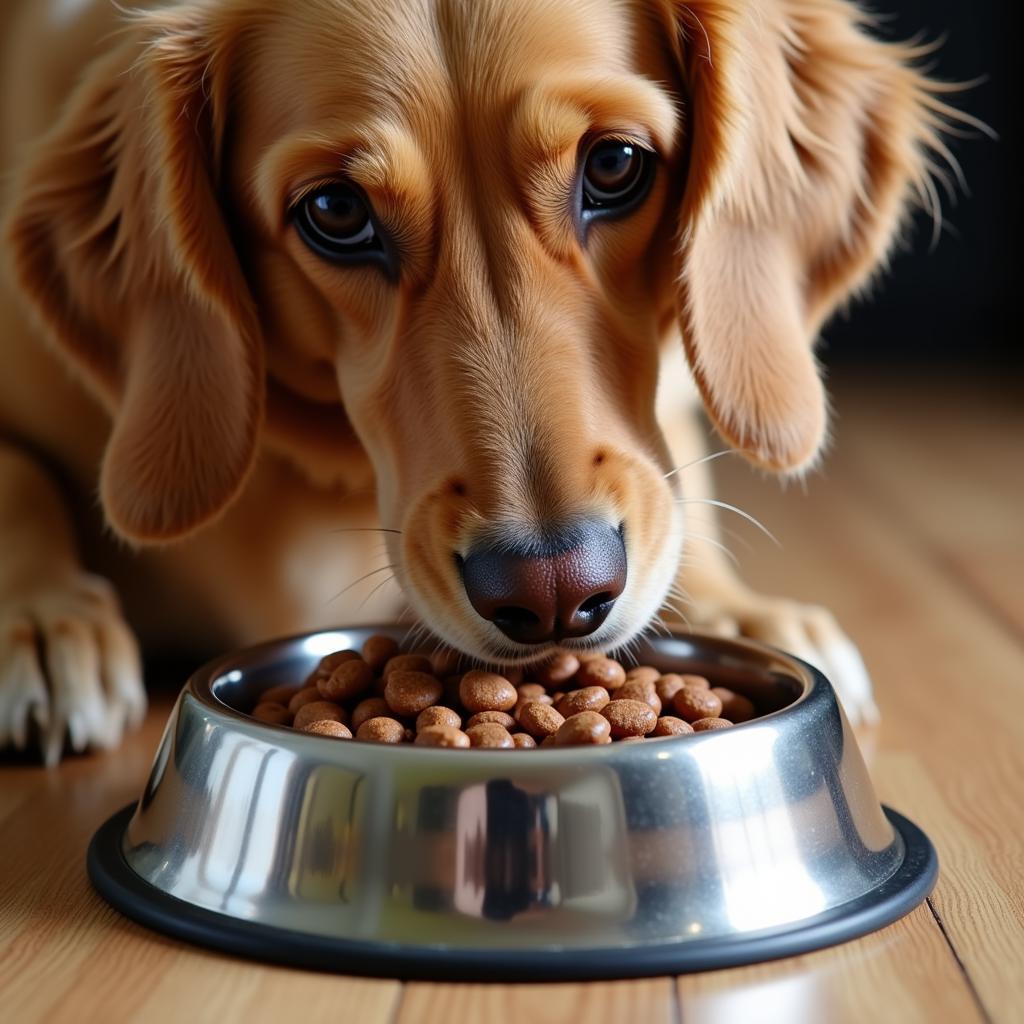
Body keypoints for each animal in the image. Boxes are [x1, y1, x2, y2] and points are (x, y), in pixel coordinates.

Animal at [0, 0, 954, 757]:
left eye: (614, 166)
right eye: (335, 212)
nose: (555, 593)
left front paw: (736, 613)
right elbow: (21, 476)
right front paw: (43, 622)